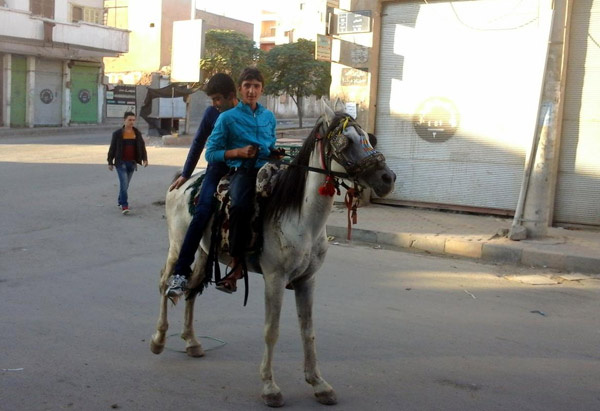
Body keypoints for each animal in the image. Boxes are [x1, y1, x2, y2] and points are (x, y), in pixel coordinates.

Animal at [151, 104, 394, 408]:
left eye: (369, 138)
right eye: (345, 141)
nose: (388, 178)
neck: (302, 219)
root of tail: (183, 181)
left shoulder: (307, 280)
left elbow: (308, 330)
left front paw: (319, 384)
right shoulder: (275, 279)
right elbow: (271, 330)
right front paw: (270, 387)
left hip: (204, 253)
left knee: (193, 289)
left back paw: (192, 342)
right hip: (178, 246)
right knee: (167, 282)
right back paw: (159, 339)